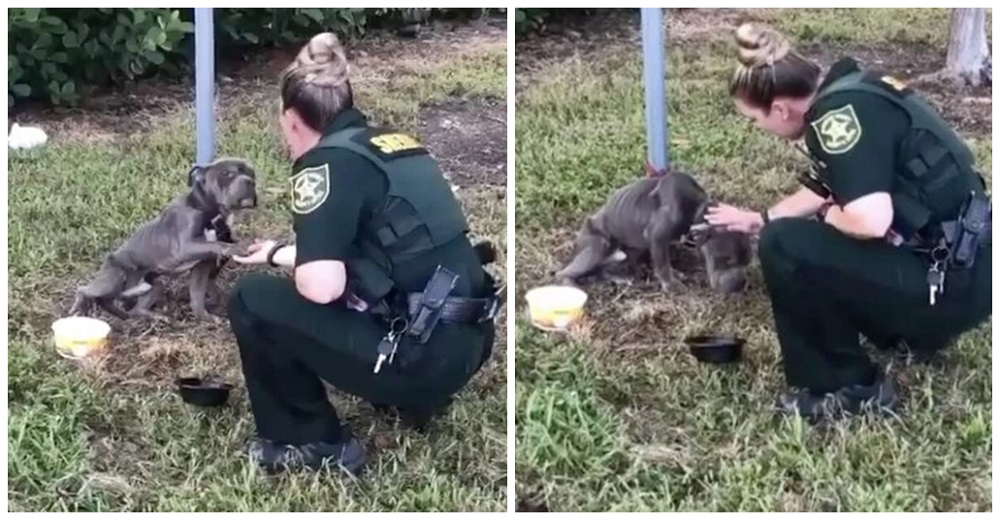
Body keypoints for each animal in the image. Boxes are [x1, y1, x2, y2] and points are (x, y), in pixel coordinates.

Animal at [68, 158, 258, 320]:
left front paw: (205, 316)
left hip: (154, 286)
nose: (250, 181)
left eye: (251, 172)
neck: (209, 211)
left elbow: (197, 295)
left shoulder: (202, 266)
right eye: (226, 173)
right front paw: (237, 247)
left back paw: (148, 317)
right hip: (115, 278)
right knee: (85, 290)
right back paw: (81, 306)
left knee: (131, 308)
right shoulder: (185, 247)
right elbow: (218, 244)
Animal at [556, 170, 752, 294]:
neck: (698, 210)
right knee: (563, 273)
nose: (741, 285)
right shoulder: (657, 238)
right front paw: (671, 285)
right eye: (726, 259)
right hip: (597, 244)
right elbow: (663, 263)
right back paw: (570, 285)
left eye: (747, 262)